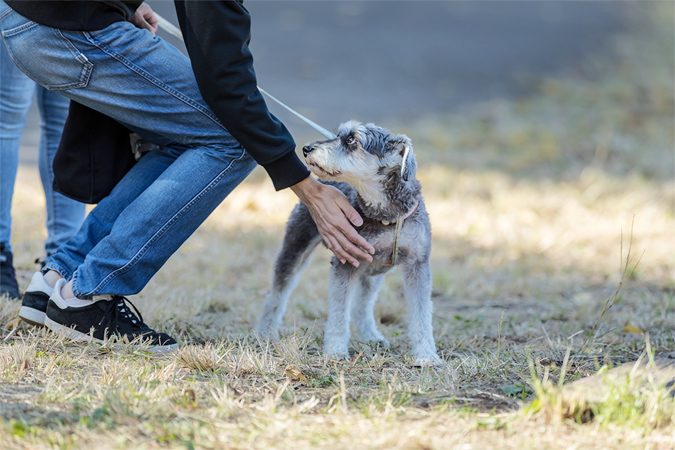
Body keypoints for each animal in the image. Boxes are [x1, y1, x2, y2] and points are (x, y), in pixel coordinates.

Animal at [256, 122, 440, 366]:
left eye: (352, 140)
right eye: (338, 134)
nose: (306, 149)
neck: (386, 214)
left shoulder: (417, 264)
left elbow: (422, 314)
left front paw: (427, 355)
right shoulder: (345, 263)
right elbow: (339, 310)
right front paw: (335, 351)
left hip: (373, 271)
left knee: (364, 305)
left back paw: (371, 336)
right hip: (295, 248)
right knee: (277, 294)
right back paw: (264, 332)